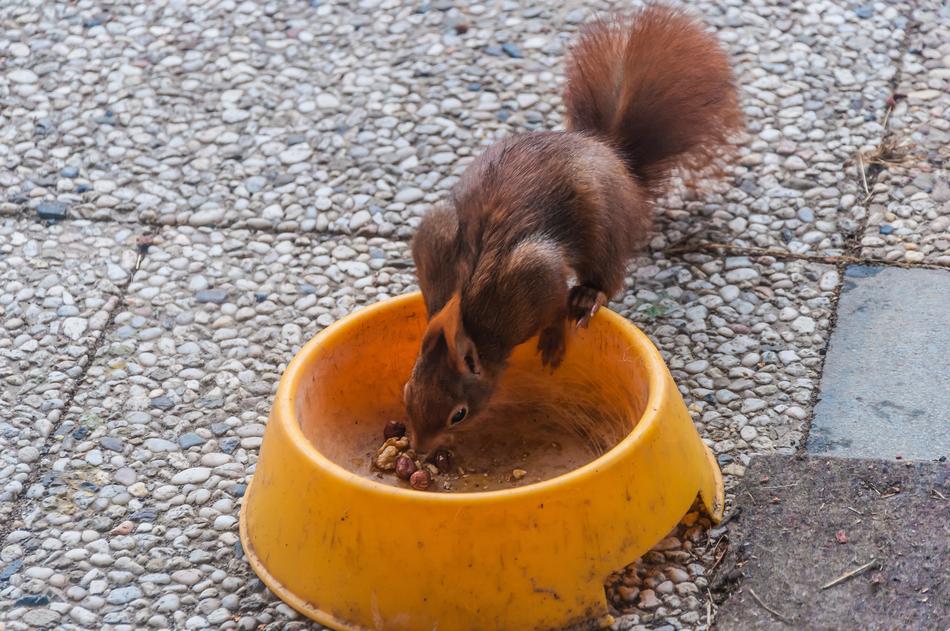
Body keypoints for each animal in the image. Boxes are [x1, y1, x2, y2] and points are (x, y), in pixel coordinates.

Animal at [402, 4, 744, 453]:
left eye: (458, 414)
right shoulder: (436, 249)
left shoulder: (530, 276)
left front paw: (553, 340)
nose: (419, 450)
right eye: (407, 391)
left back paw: (586, 297)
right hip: (440, 223)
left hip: (604, 227)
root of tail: (613, 157)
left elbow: (551, 310)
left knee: (606, 275)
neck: (473, 318)